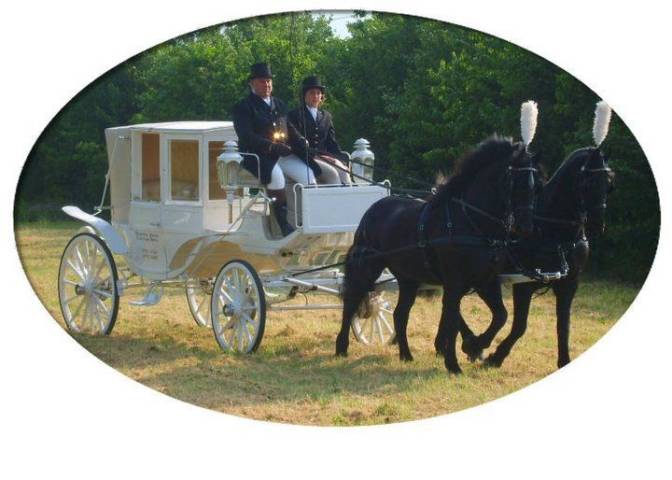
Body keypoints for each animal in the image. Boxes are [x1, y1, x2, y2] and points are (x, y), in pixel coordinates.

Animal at [335, 135, 541, 374]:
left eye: (534, 184)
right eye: (514, 181)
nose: (526, 227)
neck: (471, 220)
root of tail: (373, 209)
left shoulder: (486, 281)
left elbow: (500, 316)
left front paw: (476, 346)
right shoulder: (455, 283)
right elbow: (451, 319)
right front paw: (454, 362)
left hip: (408, 279)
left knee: (399, 314)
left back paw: (406, 354)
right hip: (367, 269)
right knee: (351, 302)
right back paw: (341, 347)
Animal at [455, 145, 615, 368]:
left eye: (609, 183)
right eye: (587, 182)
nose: (597, 225)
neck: (553, 232)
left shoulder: (569, 284)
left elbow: (563, 325)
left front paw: (564, 360)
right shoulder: (525, 284)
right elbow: (519, 325)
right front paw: (494, 355)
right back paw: (472, 344)